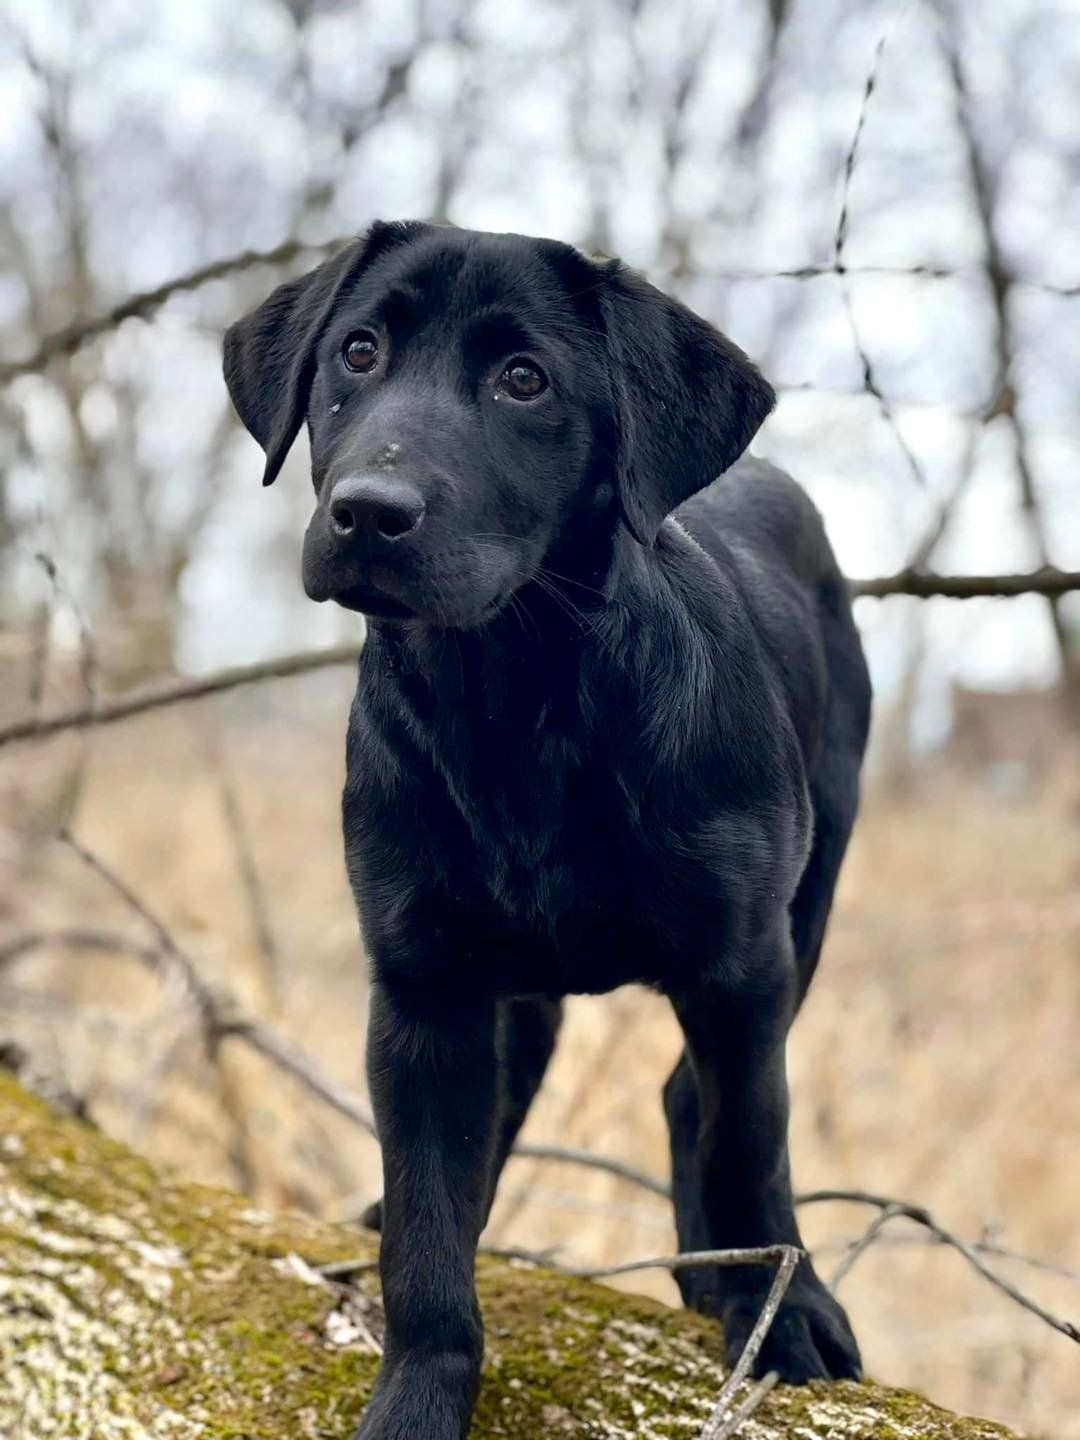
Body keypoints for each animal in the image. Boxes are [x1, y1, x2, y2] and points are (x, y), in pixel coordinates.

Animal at [224, 218, 875, 1434]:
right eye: (359, 354)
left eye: (524, 382)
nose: (368, 512)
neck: (516, 702)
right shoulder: (422, 987)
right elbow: (428, 1230)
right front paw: (416, 1399)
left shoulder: (741, 965)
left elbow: (749, 1144)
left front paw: (781, 1313)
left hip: (808, 908)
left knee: (693, 1099)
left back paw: (724, 1276)